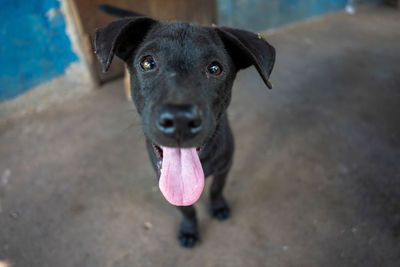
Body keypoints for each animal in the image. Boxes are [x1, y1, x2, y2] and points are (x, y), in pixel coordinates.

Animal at [94, 4, 276, 249]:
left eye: (215, 68)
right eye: (147, 63)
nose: (180, 120)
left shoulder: (225, 166)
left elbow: (217, 189)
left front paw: (218, 206)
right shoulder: (163, 179)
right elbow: (186, 209)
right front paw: (189, 230)